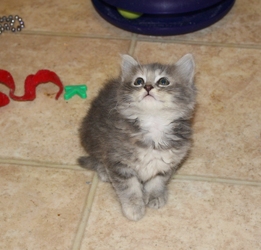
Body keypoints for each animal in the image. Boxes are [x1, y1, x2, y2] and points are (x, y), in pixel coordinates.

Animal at [78, 53, 196, 221]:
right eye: (138, 81)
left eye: (163, 81)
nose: (147, 87)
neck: (154, 123)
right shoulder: (118, 162)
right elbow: (129, 189)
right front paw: (133, 208)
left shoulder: (167, 161)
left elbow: (157, 180)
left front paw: (155, 195)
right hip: (92, 136)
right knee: (97, 157)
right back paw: (103, 170)